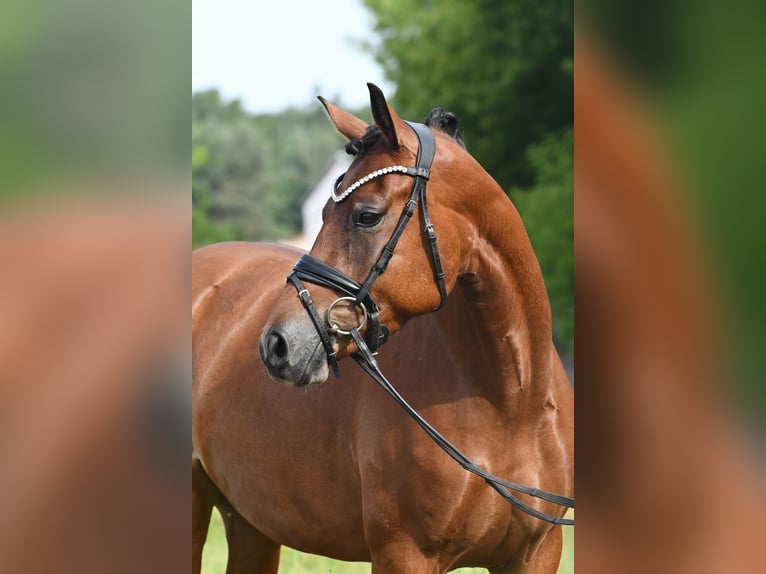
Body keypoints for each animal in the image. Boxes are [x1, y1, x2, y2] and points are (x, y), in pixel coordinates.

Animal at [192, 83, 573, 573]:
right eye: (321, 212)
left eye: (367, 215)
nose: (276, 345)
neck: (510, 405)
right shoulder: (404, 553)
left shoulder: (535, 555)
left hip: (251, 524)